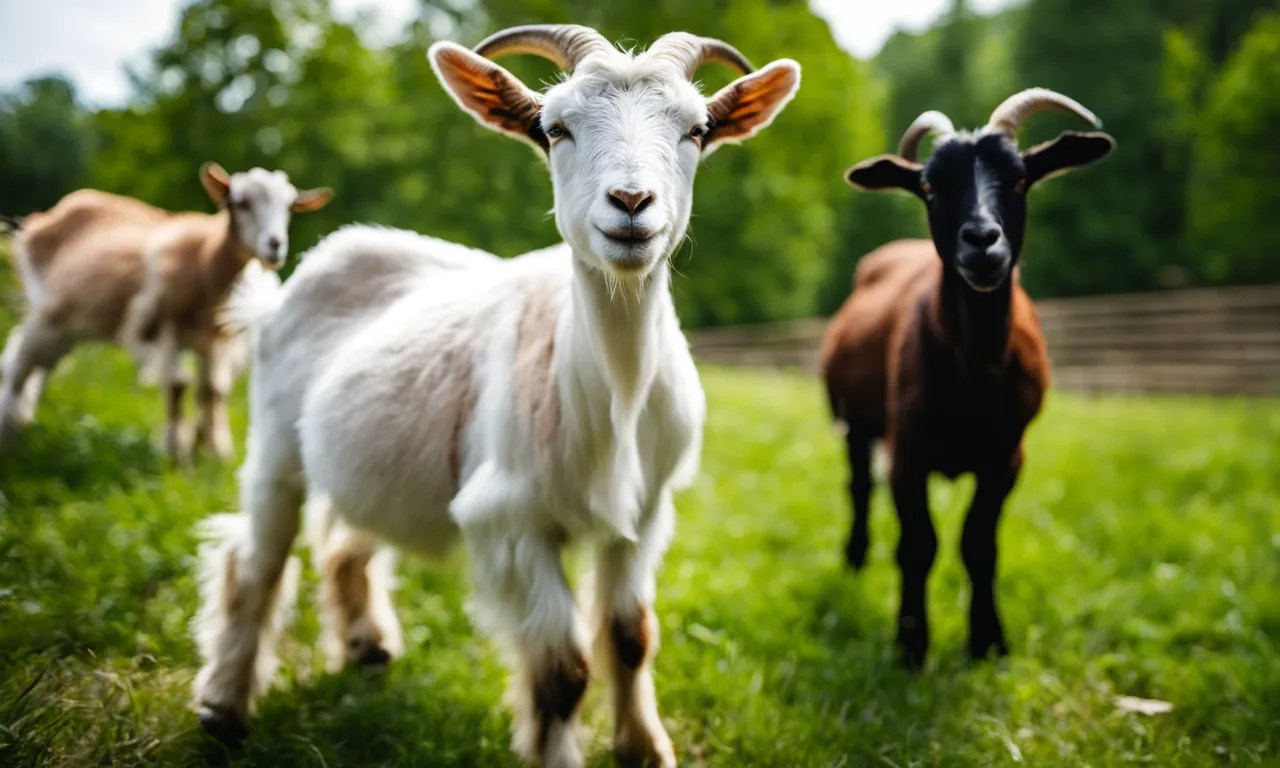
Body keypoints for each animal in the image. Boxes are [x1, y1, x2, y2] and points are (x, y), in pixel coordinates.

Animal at [0, 164, 331, 460]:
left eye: (290, 207)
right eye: (241, 204)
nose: (275, 246)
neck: (206, 262)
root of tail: (51, 215)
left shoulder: (214, 341)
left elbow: (212, 390)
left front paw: (216, 452)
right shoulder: (160, 329)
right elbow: (178, 385)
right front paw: (175, 453)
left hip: (69, 326)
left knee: (32, 361)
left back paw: (21, 420)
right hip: (49, 312)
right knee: (19, 364)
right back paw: (9, 428)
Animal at [191, 24, 799, 768]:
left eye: (698, 129)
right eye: (555, 128)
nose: (631, 204)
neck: (615, 398)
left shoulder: (643, 513)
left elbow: (630, 637)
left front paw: (645, 748)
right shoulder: (511, 521)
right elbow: (564, 670)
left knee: (346, 539)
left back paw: (368, 647)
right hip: (276, 444)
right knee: (255, 560)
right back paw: (224, 705)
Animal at [821, 89, 1114, 667]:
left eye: (1021, 178)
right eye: (931, 187)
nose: (982, 240)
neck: (975, 370)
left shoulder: (1007, 455)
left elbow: (979, 544)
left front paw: (988, 641)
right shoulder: (908, 452)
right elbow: (919, 545)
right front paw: (911, 643)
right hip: (852, 418)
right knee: (859, 487)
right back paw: (855, 558)